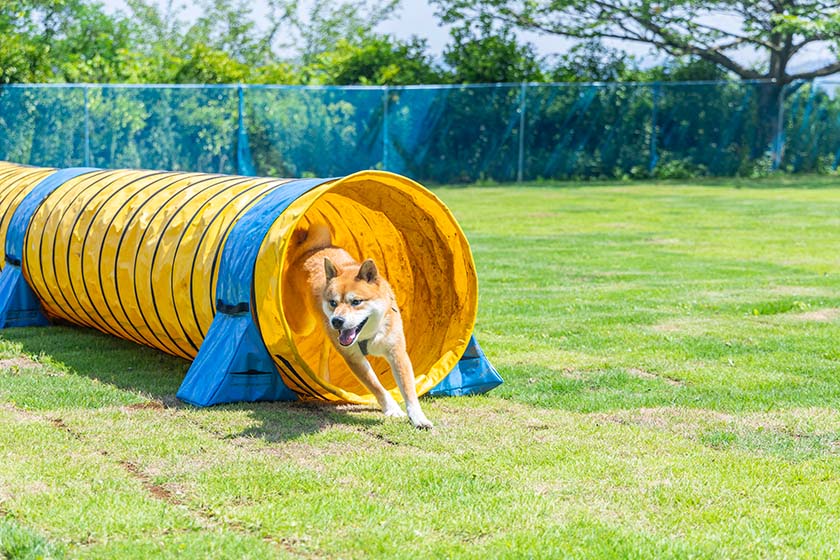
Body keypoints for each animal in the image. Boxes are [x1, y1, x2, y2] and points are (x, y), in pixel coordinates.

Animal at [292, 223, 434, 428]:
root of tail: (312, 250)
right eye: (333, 302)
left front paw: (418, 417)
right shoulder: (354, 358)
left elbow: (408, 389)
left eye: (356, 302)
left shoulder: (397, 352)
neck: (370, 334)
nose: (337, 321)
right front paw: (392, 409)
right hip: (304, 325)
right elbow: (376, 385)